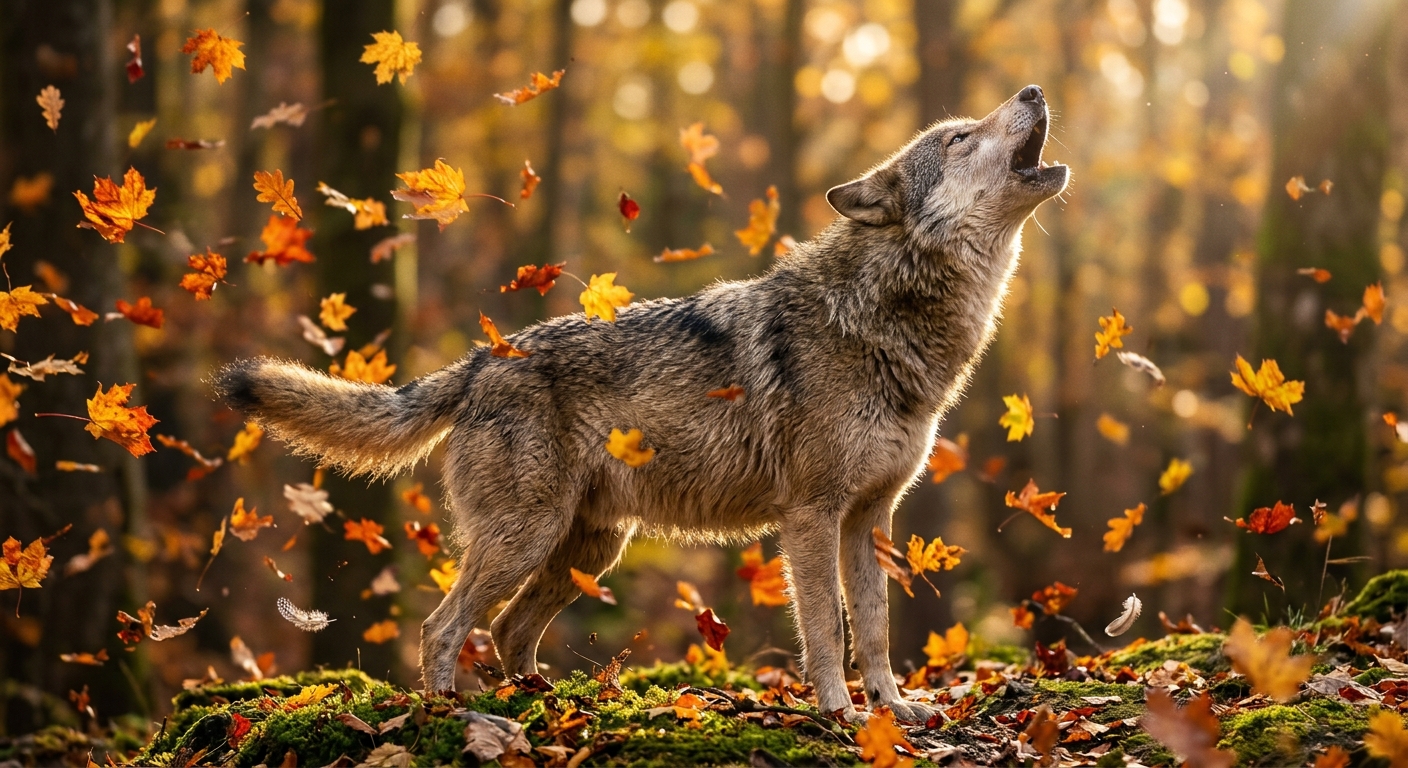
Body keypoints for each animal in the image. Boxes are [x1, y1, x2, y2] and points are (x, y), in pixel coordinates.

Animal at [213, 85, 1067, 722]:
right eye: (959, 137)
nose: (1033, 90)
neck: (885, 316)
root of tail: (484, 358)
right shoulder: (812, 516)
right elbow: (827, 628)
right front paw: (840, 713)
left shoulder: (870, 520)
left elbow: (879, 629)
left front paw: (895, 710)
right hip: (528, 537)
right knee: (443, 626)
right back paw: (456, 714)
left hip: (589, 548)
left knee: (508, 630)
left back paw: (548, 706)